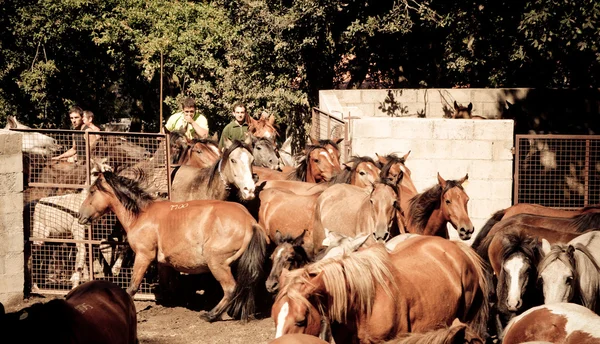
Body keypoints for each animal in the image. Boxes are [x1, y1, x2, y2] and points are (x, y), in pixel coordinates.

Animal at [77, 169, 268, 322]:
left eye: (92, 191)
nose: (80, 216)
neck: (142, 215)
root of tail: (250, 222)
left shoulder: (144, 255)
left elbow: (132, 287)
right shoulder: (163, 263)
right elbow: (167, 284)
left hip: (217, 264)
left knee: (230, 289)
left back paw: (211, 315)